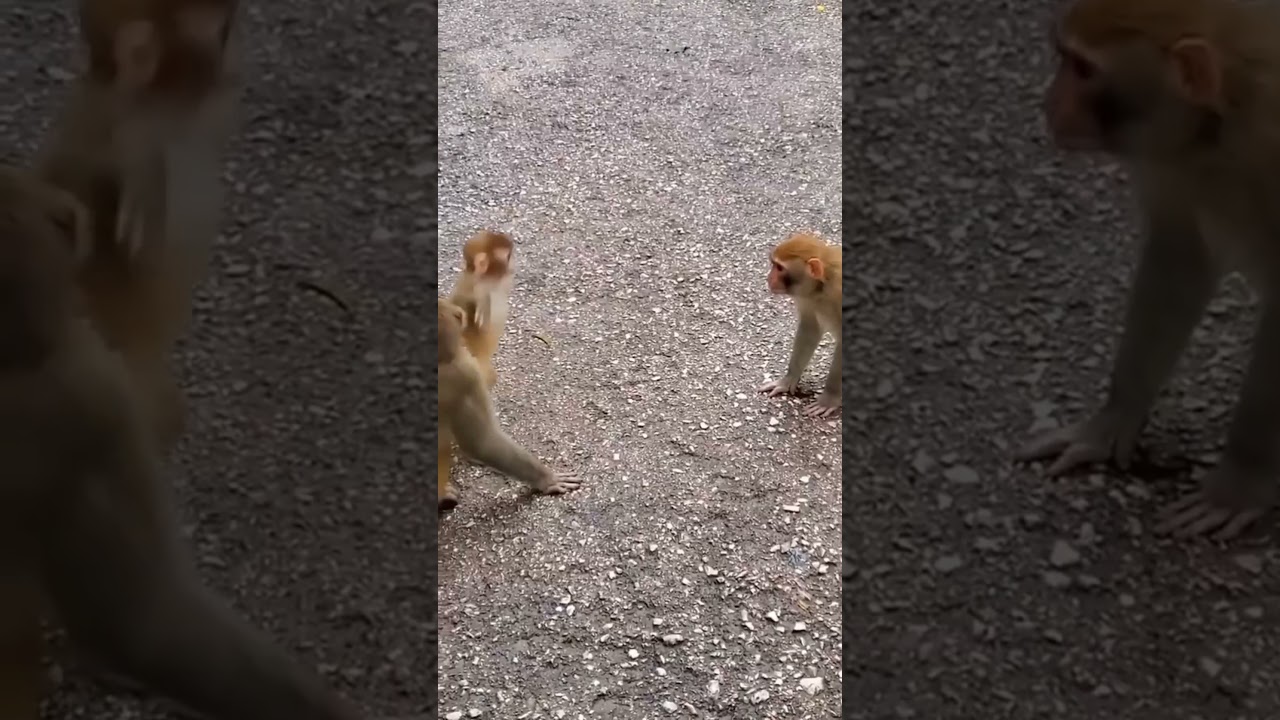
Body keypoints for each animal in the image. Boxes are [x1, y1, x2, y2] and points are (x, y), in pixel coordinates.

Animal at [758, 231, 842, 419]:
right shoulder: (807, 297)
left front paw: (829, 399)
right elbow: (810, 329)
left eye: (779, 268)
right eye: (774, 264)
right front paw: (788, 380)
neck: (823, 285)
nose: (768, 278)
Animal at [1016, 0, 1280, 541]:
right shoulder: (1173, 154)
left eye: (1083, 68)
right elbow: (1179, 258)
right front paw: (1111, 421)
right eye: (1065, 57)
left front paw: (1239, 482)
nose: (1048, 101)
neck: (1226, 116)